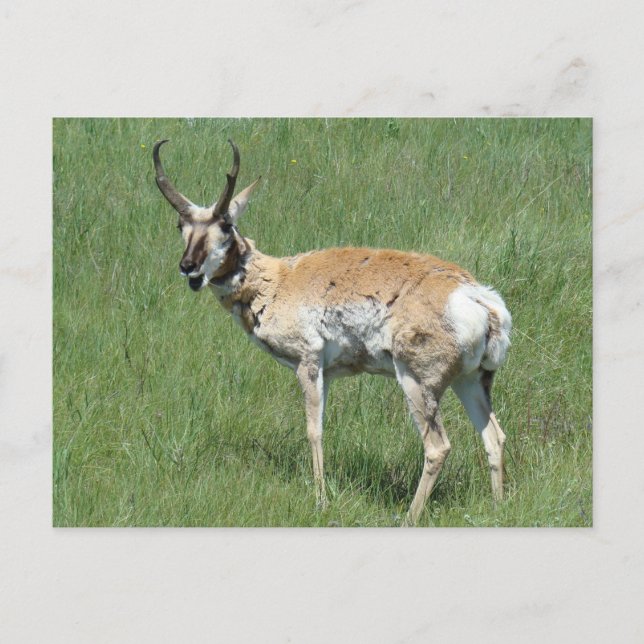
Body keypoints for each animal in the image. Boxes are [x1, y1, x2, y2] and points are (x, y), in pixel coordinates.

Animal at [153, 139, 511, 525]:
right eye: (180, 225)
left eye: (226, 224)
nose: (188, 266)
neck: (278, 279)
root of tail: (477, 297)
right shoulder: (329, 372)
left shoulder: (308, 363)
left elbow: (314, 430)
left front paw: (321, 500)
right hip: (470, 380)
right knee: (494, 437)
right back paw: (497, 508)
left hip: (418, 382)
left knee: (438, 447)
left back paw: (409, 517)